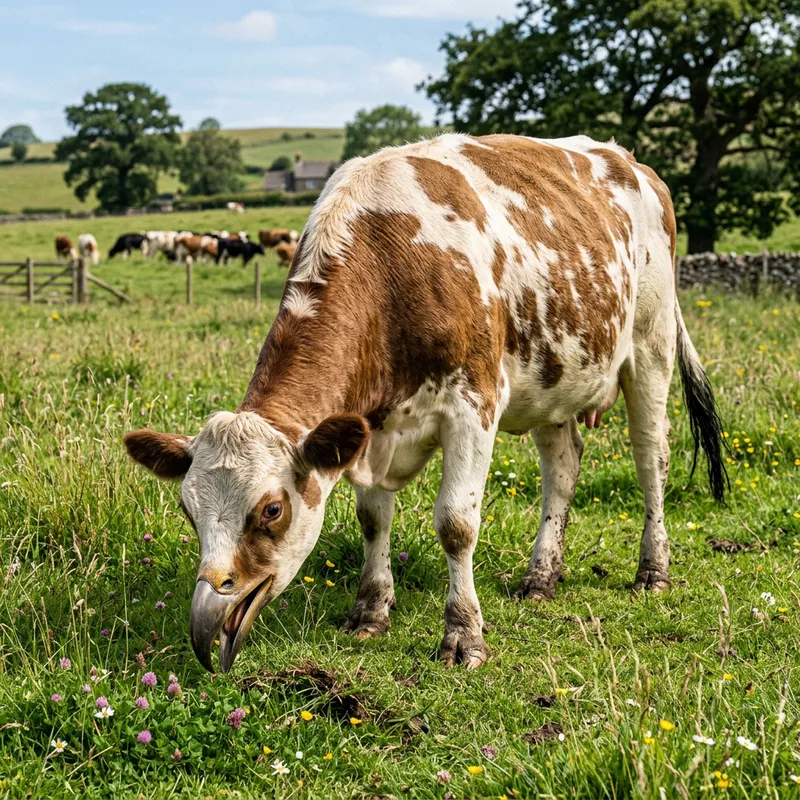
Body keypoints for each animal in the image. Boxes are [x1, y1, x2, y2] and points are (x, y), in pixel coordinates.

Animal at [124, 133, 727, 675]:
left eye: (271, 510)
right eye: (187, 509)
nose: (207, 615)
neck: (392, 264)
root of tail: (631, 161)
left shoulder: (473, 404)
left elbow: (456, 524)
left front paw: (464, 635)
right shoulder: (369, 427)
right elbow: (372, 519)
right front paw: (370, 611)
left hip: (650, 346)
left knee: (651, 457)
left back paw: (653, 570)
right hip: (550, 378)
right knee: (562, 465)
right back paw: (541, 577)